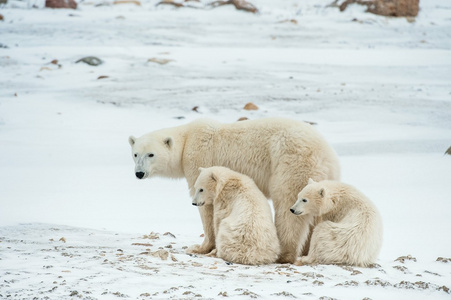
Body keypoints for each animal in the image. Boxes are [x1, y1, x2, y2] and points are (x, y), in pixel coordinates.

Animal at [129, 117, 340, 262]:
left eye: (151, 154)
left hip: (291, 163)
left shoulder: (200, 159)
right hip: (323, 177)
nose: (139, 173)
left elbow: (207, 208)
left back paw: (285, 253)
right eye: (135, 154)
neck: (186, 140)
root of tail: (325, 154)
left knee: (288, 205)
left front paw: (200, 247)